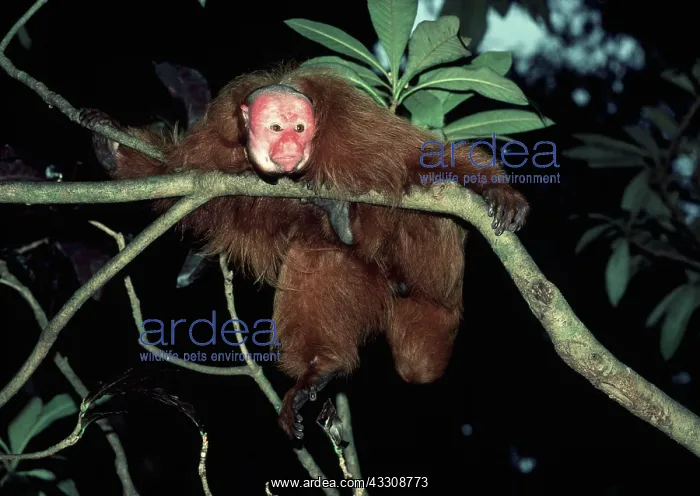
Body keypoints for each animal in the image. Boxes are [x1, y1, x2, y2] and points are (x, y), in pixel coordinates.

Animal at [80, 64, 529, 441]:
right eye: (277, 127)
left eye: (300, 127)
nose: (291, 147)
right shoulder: (213, 145)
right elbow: (179, 182)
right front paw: (109, 148)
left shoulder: (357, 129)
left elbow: (423, 155)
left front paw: (496, 188)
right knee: (318, 254)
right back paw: (319, 363)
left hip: (435, 266)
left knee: (417, 201)